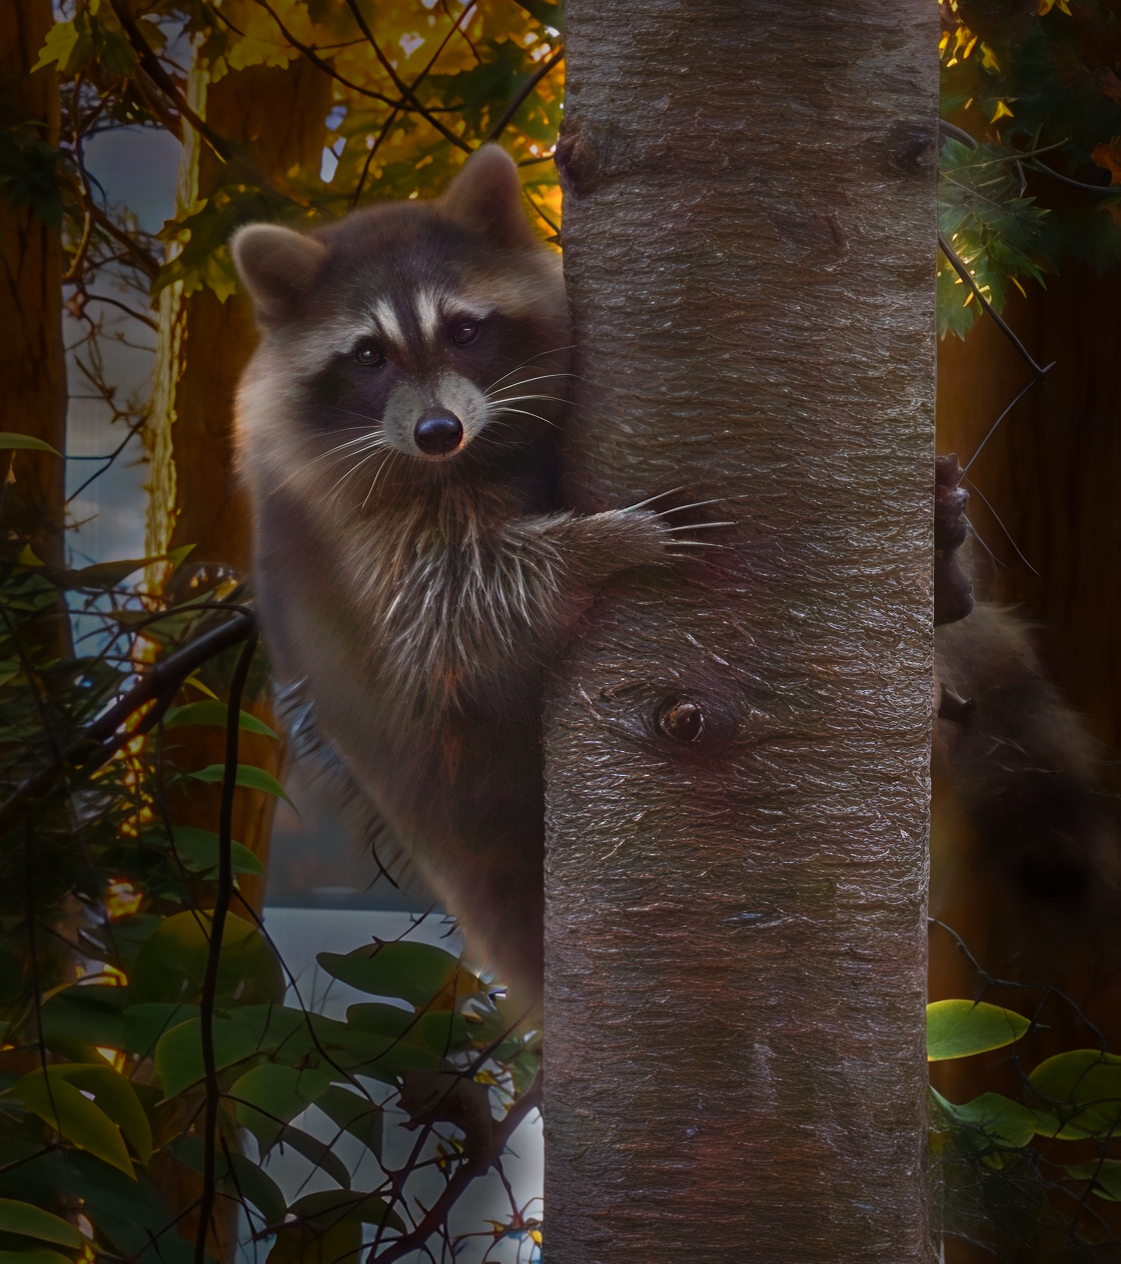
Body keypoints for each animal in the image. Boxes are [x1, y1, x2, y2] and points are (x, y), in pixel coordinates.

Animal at [231, 146, 695, 1010]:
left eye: (464, 330)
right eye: (369, 354)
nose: (437, 430)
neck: (459, 462)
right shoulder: (350, 530)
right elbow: (453, 618)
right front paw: (603, 544)